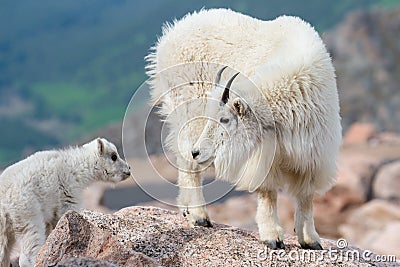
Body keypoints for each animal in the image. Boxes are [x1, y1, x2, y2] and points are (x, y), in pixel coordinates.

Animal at [147, 8, 340, 251]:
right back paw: (199, 216)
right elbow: (267, 192)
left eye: (225, 119)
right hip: (187, 110)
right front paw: (272, 237)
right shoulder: (266, 154)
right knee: (187, 161)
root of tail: (167, 38)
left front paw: (310, 240)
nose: (198, 151)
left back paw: (187, 208)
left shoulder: (314, 154)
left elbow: (306, 196)